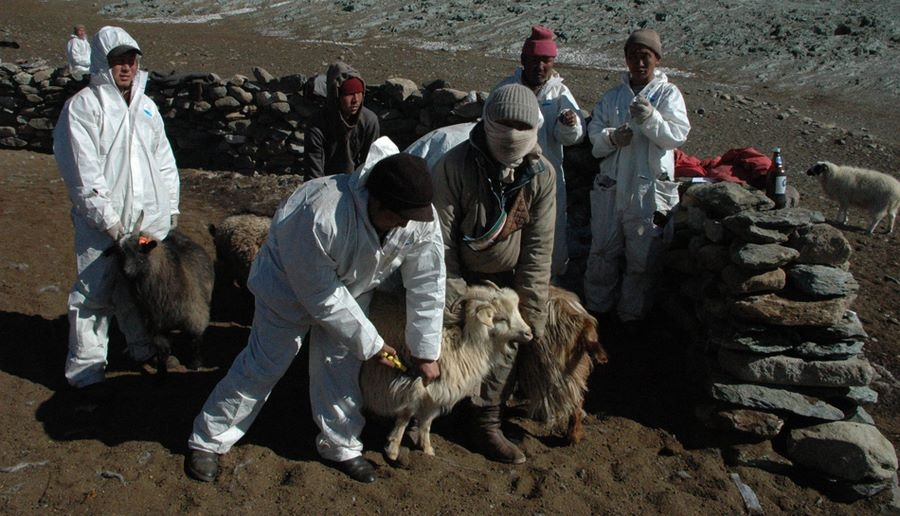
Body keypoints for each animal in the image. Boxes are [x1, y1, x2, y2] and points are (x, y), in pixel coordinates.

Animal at [105, 224, 214, 372]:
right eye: (120, 254)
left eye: (140, 251)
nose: (126, 272)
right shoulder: (156, 327)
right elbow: (163, 351)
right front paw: (162, 372)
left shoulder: (195, 316)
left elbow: (195, 340)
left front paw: (195, 363)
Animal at [360, 284, 536, 462]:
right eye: (501, 318)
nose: (529, 333)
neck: (462, 344)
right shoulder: (415, 386)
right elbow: (405, 416)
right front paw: (393, 449)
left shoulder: (436, 391)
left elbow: (427, 421)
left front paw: (427, 450)